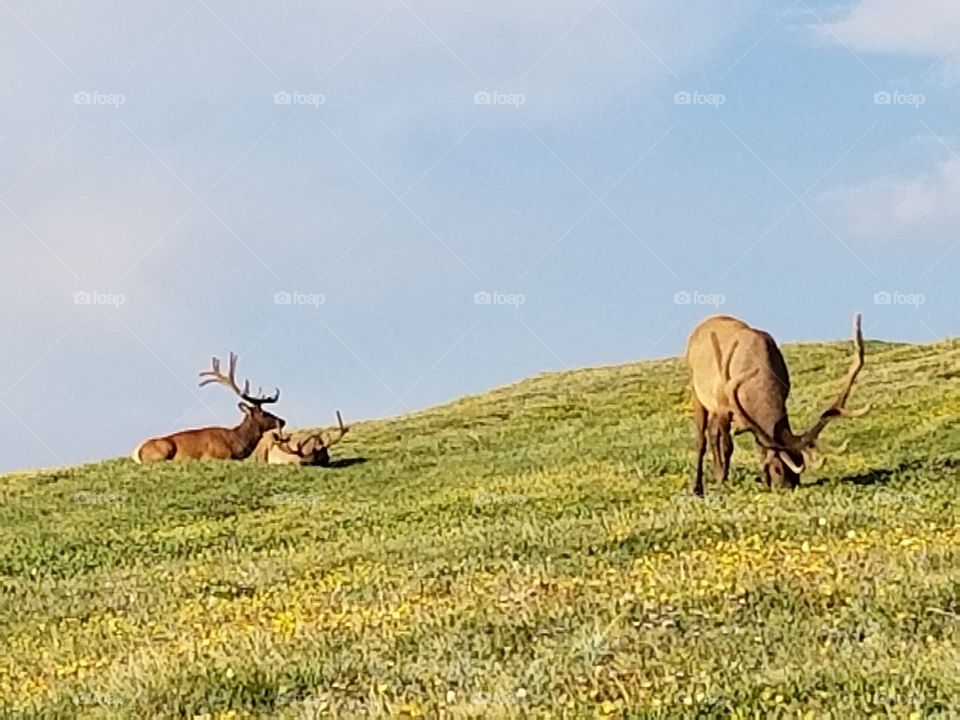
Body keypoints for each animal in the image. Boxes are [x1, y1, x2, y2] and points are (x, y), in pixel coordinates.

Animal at [132, 352, 286, 464]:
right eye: (264, 413)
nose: (282, 421)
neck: (235, 445)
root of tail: (139, 452)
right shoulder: (213, 456)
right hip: (164, 447)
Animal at [684, 313, 867, 496]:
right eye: (778, 469)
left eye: (799, 465)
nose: (787, 487)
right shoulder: (723, 405)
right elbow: (727, 446)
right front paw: (723, 480)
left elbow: (761, 446)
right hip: (697, 393)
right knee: (702, 440)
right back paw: (698, 486)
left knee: (712, 433)